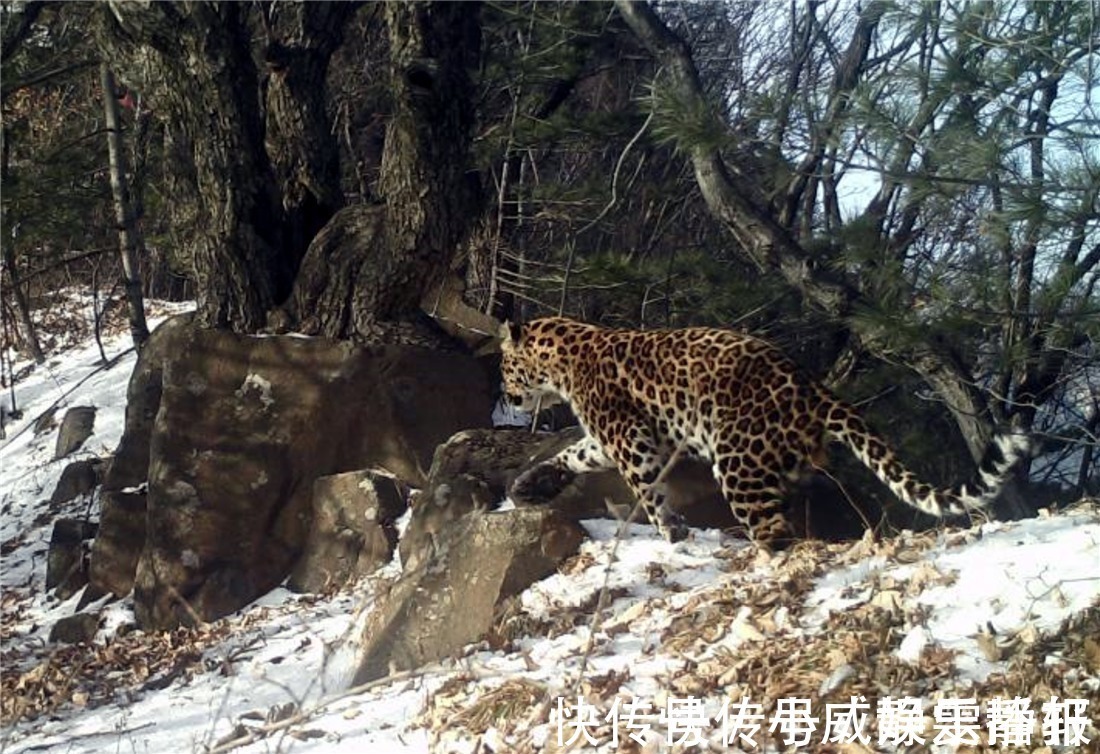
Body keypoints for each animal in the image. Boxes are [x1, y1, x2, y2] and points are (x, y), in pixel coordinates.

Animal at [501, 314, 1029, 543]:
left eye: (505, 367)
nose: (506, 395)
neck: (562, 360)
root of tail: (813, 388)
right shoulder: (614, 437)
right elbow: (574, 454)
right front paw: (531, 483)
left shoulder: (629, 440)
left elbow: (648, 492)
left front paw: (671, 532)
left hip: (739, 464)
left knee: (776, 530)